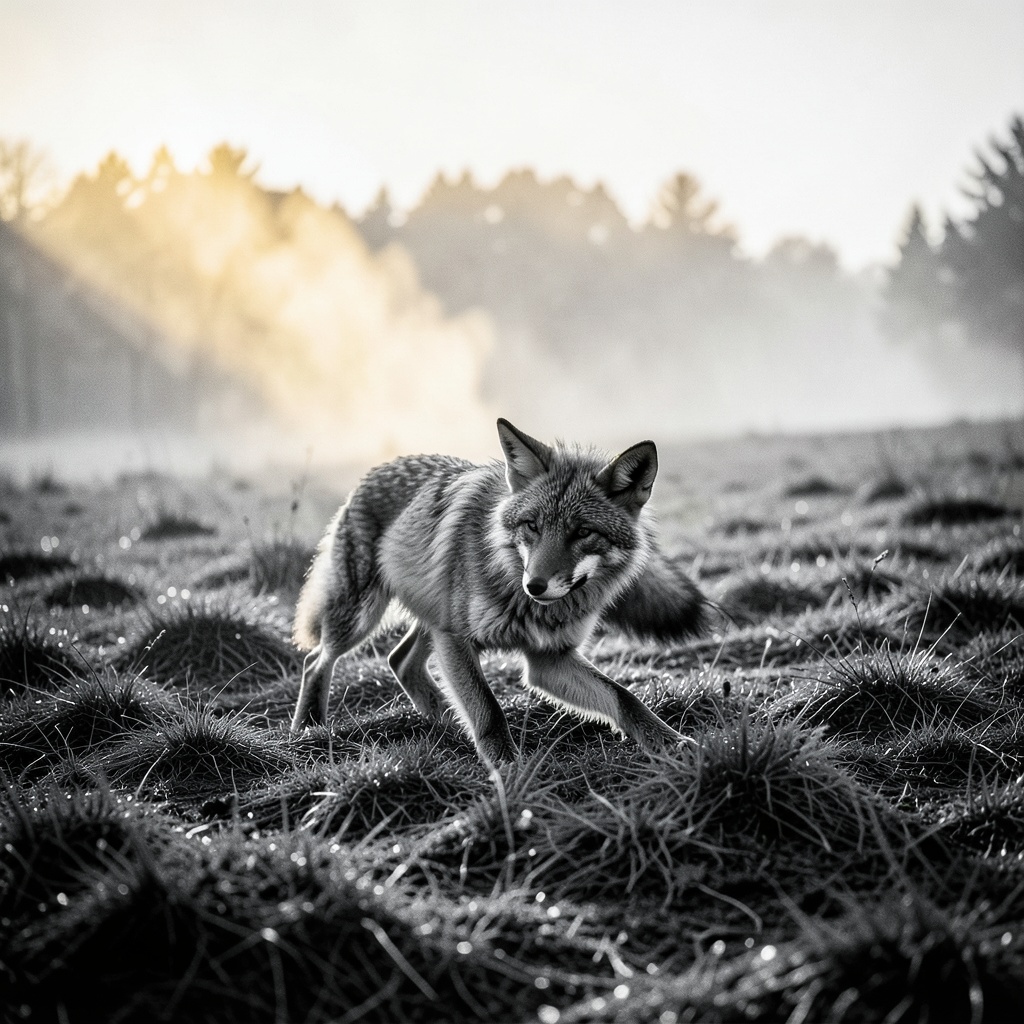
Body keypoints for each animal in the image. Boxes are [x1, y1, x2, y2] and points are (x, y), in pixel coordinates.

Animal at [291, 419, 707, 764]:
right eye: (532, 526)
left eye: (583, 532)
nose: (535, 585)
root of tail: (376, 470)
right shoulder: (457, 639)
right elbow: (489, 711)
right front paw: (507, 772)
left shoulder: (549, 659)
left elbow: (625, 697)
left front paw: (670, 743)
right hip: (362, 617)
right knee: (316, 661)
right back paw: (309, 726)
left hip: (430, 619)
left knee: (400, 661)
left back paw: (445, 721)